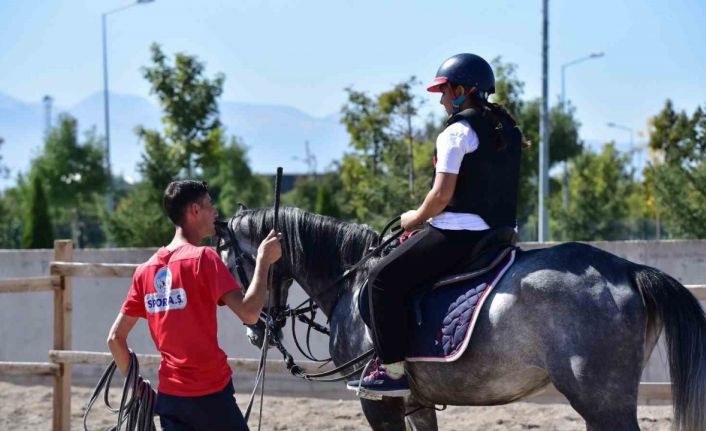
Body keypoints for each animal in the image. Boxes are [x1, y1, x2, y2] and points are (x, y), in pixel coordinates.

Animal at [216, 208, 704, 430]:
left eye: (229, 261)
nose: (255, 329)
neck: (350, 279)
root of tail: (628, 269)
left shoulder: (377, 401)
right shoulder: (416, 400)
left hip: (603, 401)